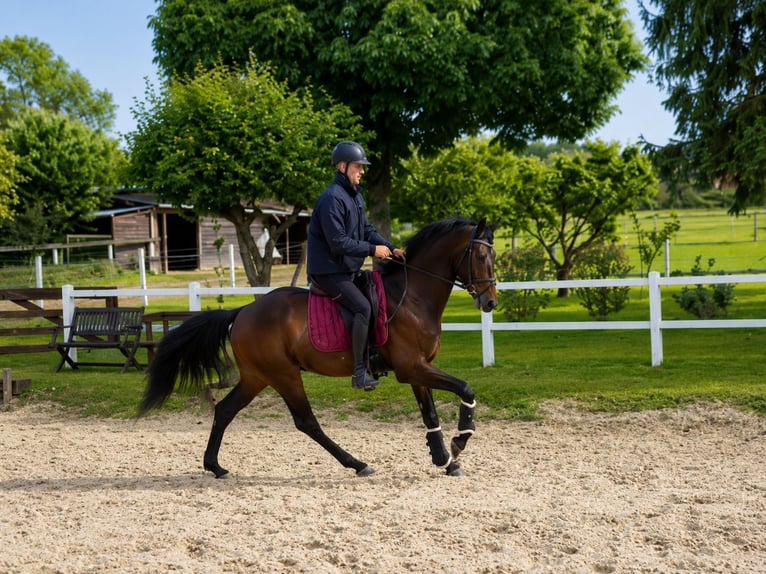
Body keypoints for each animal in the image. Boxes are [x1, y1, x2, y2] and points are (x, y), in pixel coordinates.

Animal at [138, 217, 497, 478]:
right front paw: (460, 439)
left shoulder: (419, 368)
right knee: (306, 421)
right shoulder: (411, 367)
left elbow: (429, 412)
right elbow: (465, 388)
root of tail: (243, 312)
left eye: (493, 256)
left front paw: (445, 459)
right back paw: (357, 464)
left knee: (225, 410)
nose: (491, 302)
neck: (411, 297)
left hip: (257, 376)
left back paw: (215, 466)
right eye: (481, 257)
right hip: (283, 375)